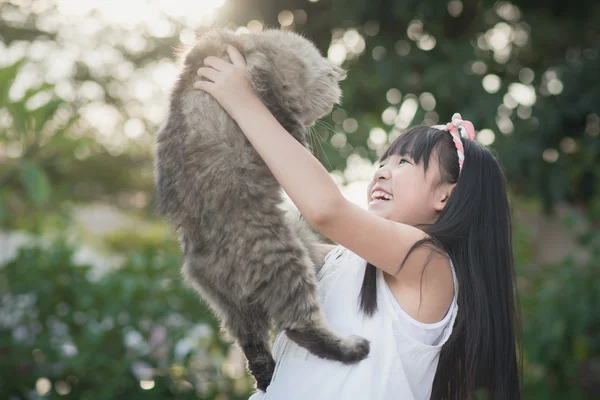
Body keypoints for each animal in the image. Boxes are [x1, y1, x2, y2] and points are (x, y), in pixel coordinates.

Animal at [154, 29, 370, 392]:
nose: (316, 121)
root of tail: (201, 261)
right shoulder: (270, 93)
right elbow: (285, 121)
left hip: (238, 310)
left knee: (254, 348)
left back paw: (267, 378)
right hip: (288, 256)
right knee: (300, 327)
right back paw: (351, 348)